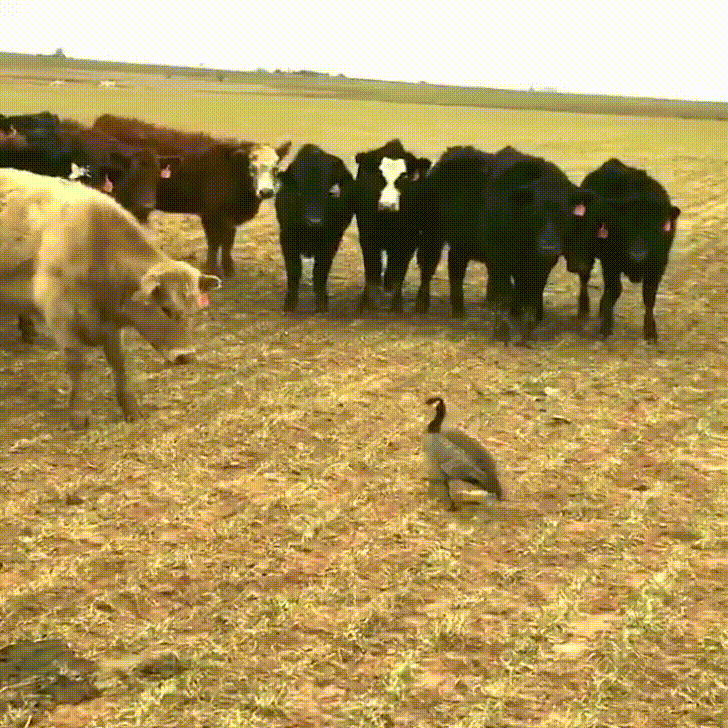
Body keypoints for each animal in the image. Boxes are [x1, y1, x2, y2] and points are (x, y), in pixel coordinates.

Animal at [0, 169, 220, 429]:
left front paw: (131, 408)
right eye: (165, 308)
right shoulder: (61, 317)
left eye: (194, 310)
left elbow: (119, 362)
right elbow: (76, 363)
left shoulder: (111, 324)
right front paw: (78, 415)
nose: (186, 356)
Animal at [92, 114, 291, 279]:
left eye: (276, 168)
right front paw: (212, 269)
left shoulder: (230, 216)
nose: (266, 191)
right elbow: (214, 241)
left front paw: (229, 269)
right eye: (251, 167)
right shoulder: (212, 214)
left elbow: (228, 241)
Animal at [274, 144, 355, 312]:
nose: (314, 221)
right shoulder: (287, 238)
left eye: (328, 192)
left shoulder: (332, 241)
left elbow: (320, 271)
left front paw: (322, 302)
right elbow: (294, 270)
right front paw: (290, 302)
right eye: (299, 192)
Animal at [353, 140, 431, 312]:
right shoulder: (368, 237)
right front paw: (368, 303)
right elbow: (373, 269)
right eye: (379, 175)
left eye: (404, 176)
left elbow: (398, 271)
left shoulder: (408, 242)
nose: (387, 205)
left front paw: (396, 305)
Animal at [563, 159, 680, 340]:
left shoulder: (658, 266)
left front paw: (650, 331)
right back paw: (583, 309)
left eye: (654, 227)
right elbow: (614, 289)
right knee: (584, 278)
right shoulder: (610, 262)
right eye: (625, 226)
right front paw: (606, 326)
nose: (637, 253)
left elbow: (649, 296)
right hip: (585, 255)